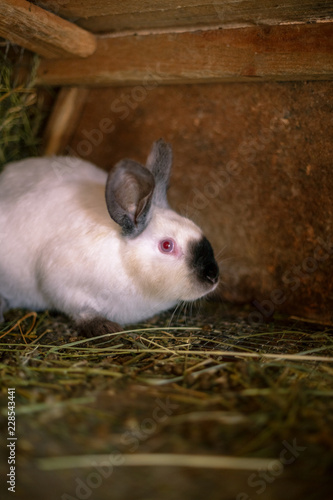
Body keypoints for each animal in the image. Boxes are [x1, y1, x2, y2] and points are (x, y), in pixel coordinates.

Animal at [0, 139, 219, 338]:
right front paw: (105, 328)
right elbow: (81, 309)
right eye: (166, 245)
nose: (213, 276)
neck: (128, 268)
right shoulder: (59, 281)